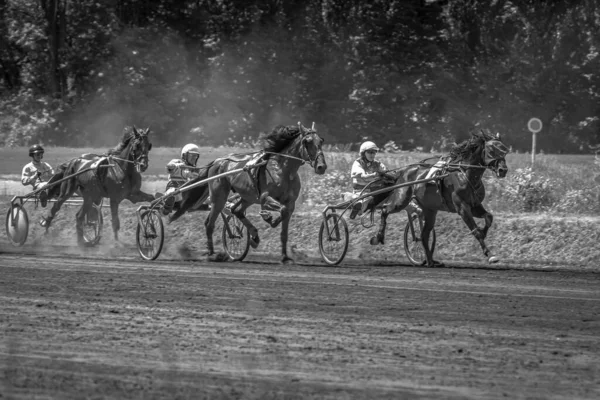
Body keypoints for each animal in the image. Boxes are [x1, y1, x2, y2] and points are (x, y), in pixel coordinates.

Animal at [169, 123, 328, 264]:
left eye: (321, 141)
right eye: (307, 141)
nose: (321, 167)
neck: (283, 169)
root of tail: (218, 161)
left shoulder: (291, 203)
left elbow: (284, 227)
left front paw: (285, 257)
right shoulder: (265, 197)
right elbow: (280, 210)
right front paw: (268, 217)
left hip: (247, 197)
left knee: (236, 210)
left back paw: (254, 236)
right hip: (219, 196)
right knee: (210, 223)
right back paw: (212, 254)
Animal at [372, 130, 508, 268]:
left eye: (504, 151)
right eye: (492, 150)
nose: (503, 170)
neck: (465, 174)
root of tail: (403, 171)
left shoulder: (474, 205)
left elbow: (489, 217)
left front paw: (484, 232)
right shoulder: (462, 208)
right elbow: (476, 231)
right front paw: (490, 254)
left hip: (430, 209)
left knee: (424, 235)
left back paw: (431, 261)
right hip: (401, 199)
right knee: (385, 210)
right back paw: (378, 237)